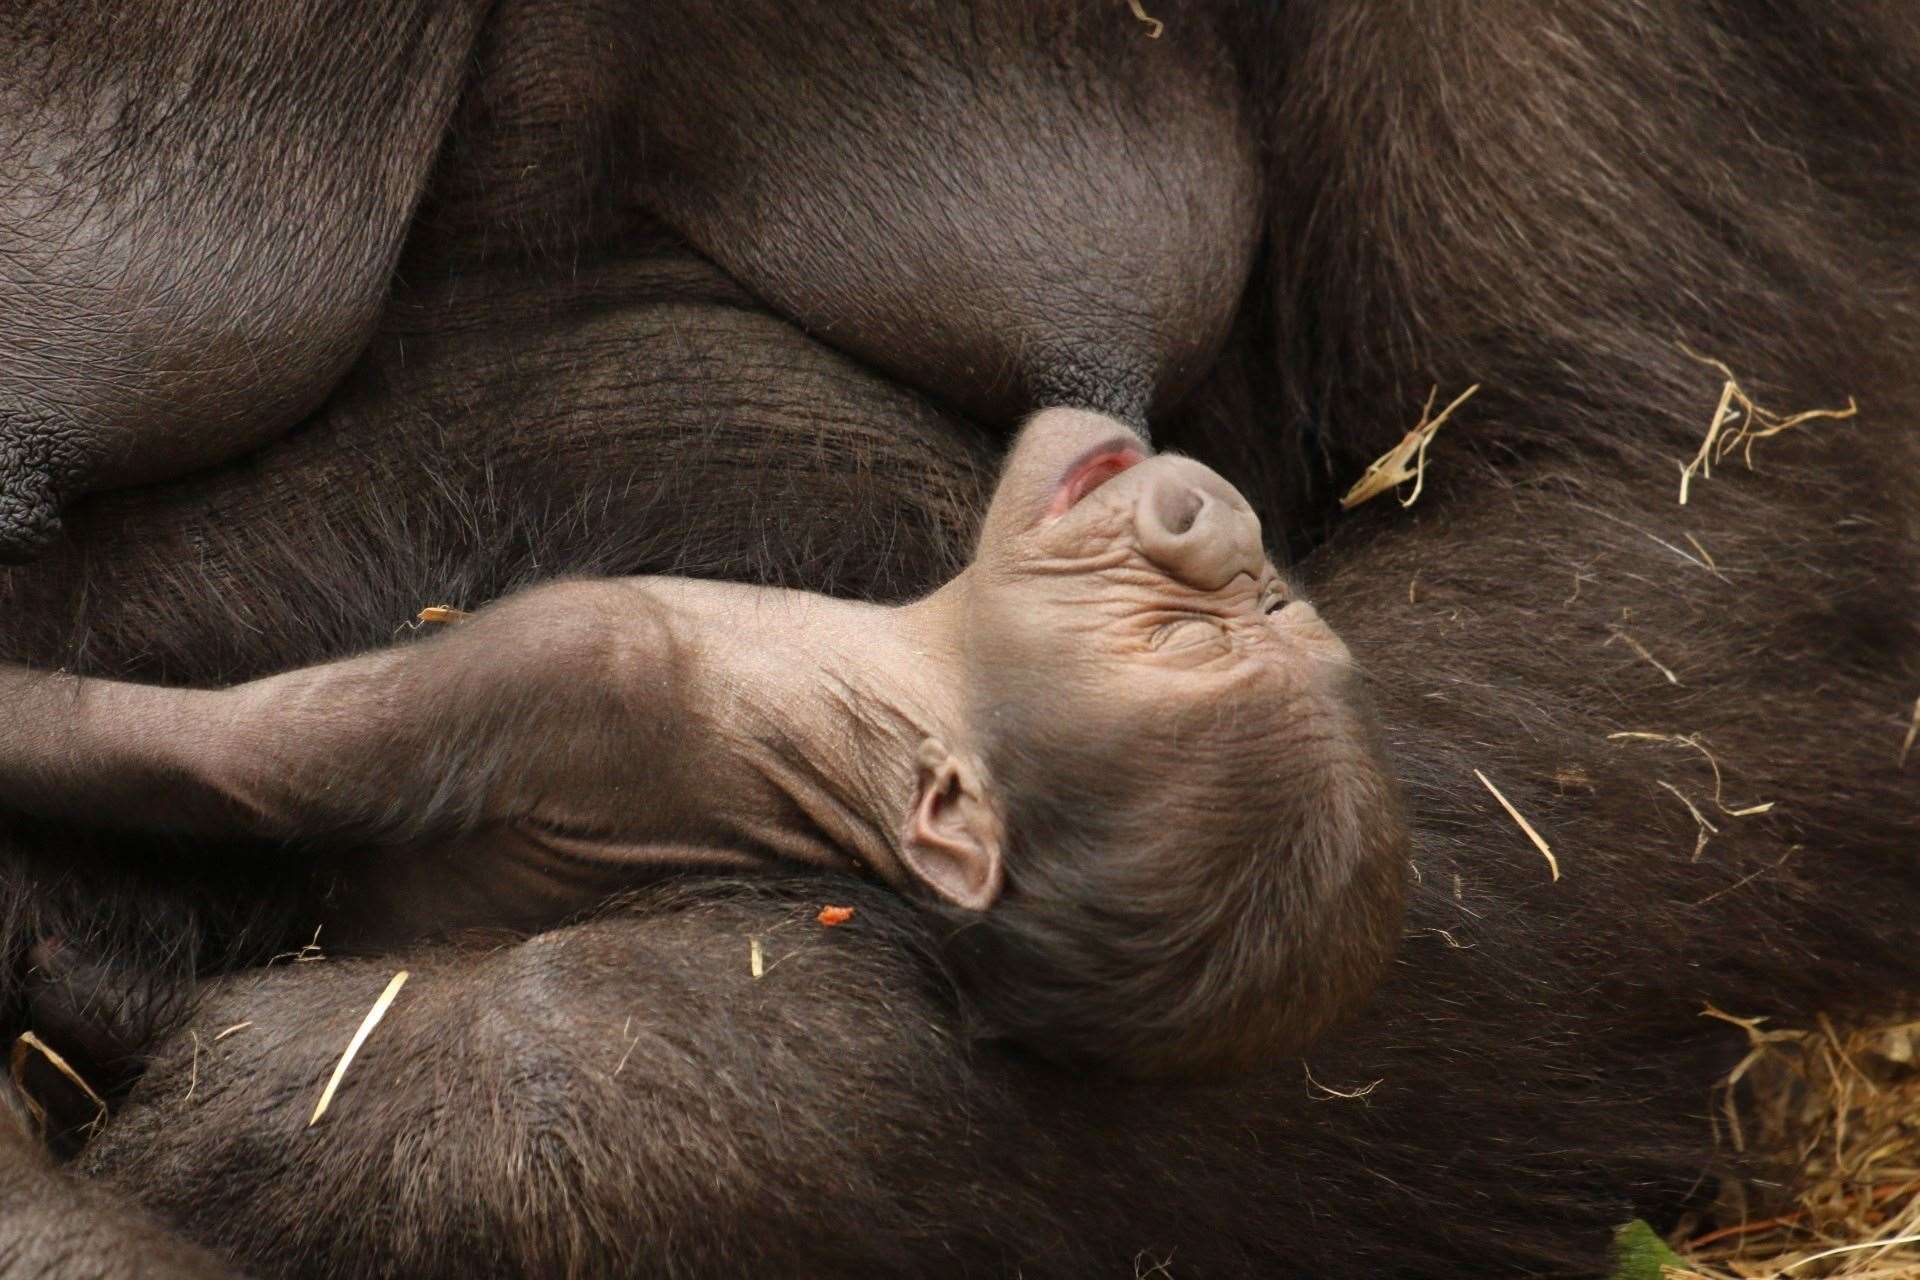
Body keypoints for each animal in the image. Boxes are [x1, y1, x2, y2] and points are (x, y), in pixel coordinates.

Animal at [0, 412, 1413, 1082]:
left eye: (1173, 644)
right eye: (1262, 610)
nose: (1212, 523)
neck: (827, 690)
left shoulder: (580, 653)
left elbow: (231, 760)